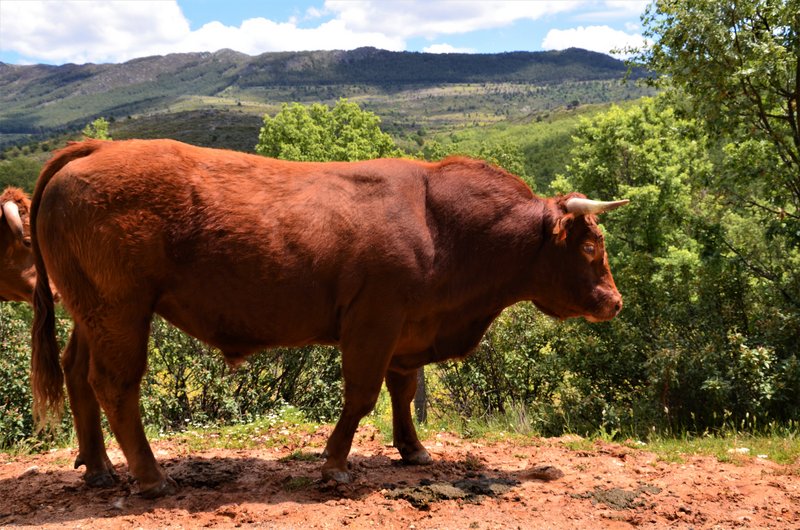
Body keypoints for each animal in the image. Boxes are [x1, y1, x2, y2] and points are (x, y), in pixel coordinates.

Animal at [31, 137, 628, 496]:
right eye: (590, 247)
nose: (615, 302)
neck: (441, 225)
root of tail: (98, 147)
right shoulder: (373, 322)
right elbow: (361, 396)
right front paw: (335, 464)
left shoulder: (408, 328)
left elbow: (403, 391)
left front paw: (414, 450)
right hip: (121, 309)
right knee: (115, 384)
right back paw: (150, 476)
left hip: (92, 311)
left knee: (77, 373)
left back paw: (99, 467)